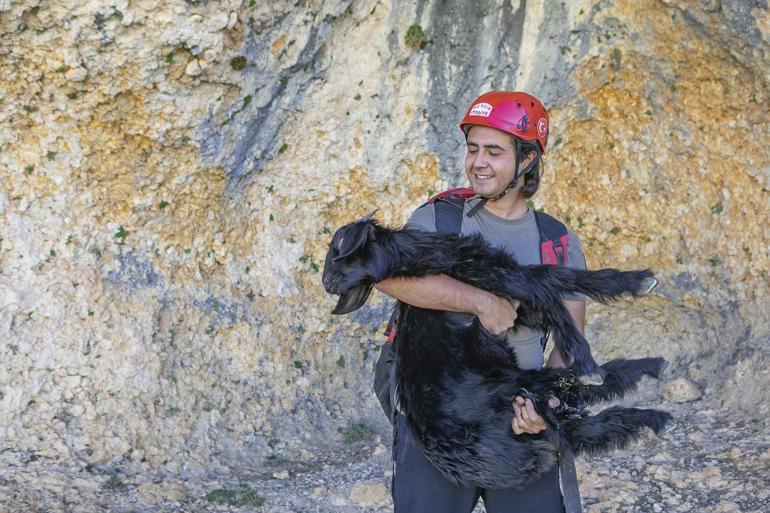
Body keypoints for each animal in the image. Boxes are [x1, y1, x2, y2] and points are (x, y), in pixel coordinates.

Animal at [320, 215, 668, 488]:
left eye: (336, 251)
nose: (325, 284)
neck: (418, 258)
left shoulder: (515, 293)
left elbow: (567, 277)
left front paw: (636, 280)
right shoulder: (511, 285)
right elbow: (557, 296)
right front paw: (587, 359)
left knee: (580, 410)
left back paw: (650, 369)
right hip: (521, 389)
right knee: (585, 409)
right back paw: (649, 406)